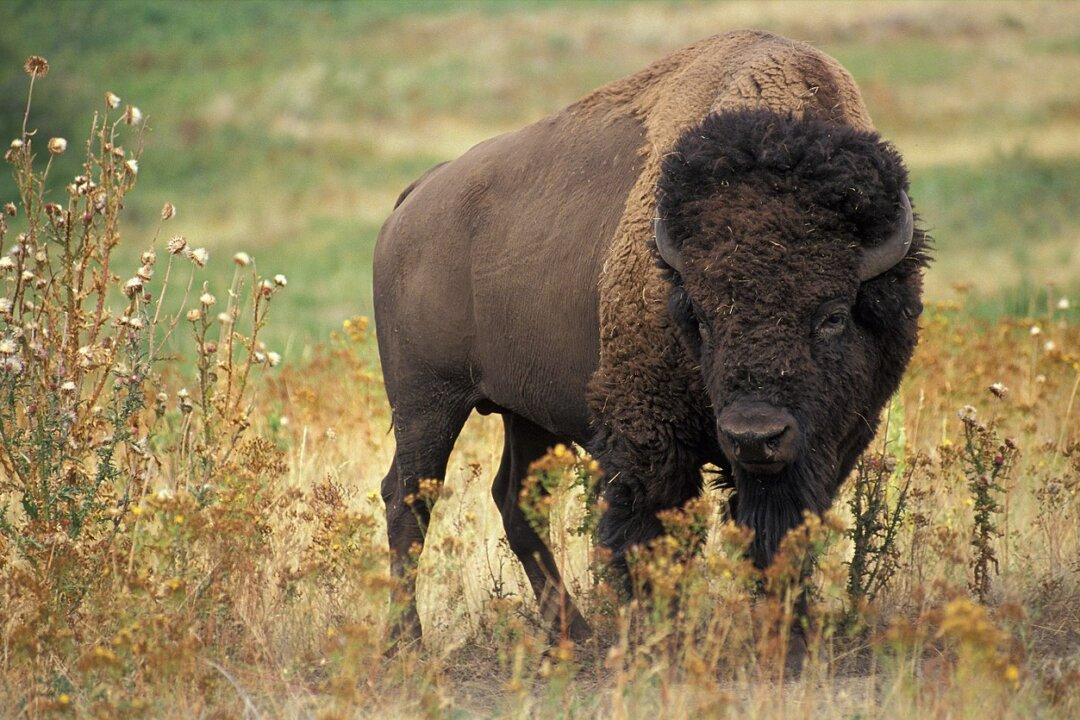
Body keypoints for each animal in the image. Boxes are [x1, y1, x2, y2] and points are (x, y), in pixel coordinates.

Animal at [373, 30, 928, 641]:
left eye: (832, 315)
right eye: (701, 317)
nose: (754, 435)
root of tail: (416, 197)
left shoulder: (829, 443)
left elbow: (781, 534)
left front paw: (788, 633)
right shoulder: (649, 437)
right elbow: (648, 535)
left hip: (525, 411)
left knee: (514, 499)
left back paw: (574, 633)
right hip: (427, 401)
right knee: (408, 498)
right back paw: (408, 640)